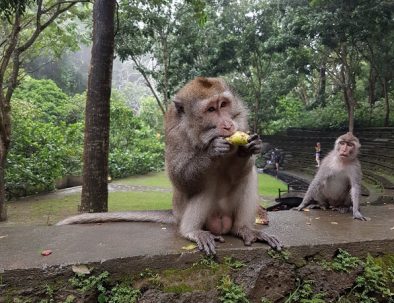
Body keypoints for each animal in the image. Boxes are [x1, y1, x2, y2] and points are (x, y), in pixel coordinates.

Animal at [57, 76, 280, 256]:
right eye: (211, 110)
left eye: (224, 104)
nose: (227, 124)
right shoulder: (175, 134)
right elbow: (181, 180)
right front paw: (212, 150)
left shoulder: (241, 121)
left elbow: (238, 174)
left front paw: (250, 147)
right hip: (186, 212)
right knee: (206, 183)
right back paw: (191, 231)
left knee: (247, 177)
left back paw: (243, 229)